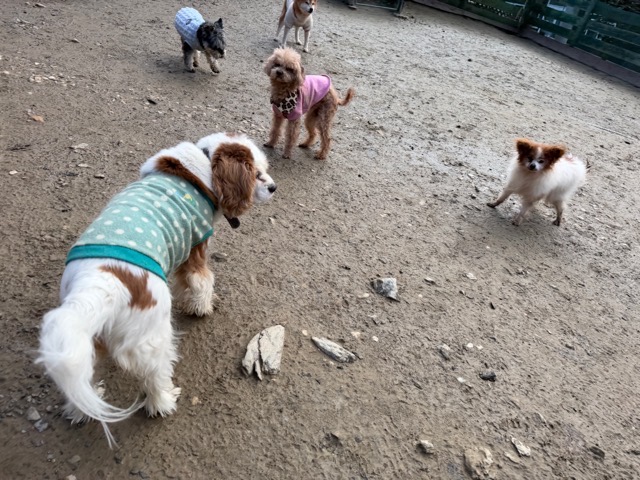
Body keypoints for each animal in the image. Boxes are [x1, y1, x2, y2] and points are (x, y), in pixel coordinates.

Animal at [37, 133, 276, 446]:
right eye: (257, 174)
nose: (273, 187)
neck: (203, 162)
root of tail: (102, 283)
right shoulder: (196, 248)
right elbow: (201, 281)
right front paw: (203, 306)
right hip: (154, 339)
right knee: (154, 376)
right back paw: (163, 401)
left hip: (83, 339)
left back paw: (81, 410)